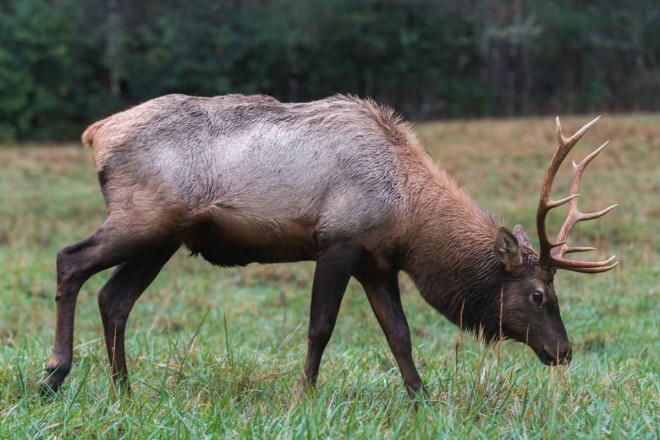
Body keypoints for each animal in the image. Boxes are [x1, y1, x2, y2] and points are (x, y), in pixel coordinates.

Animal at [43, 94, 616, 398]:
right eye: (539, 294)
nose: (564, 351)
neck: (407, 214)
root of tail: (95, 133)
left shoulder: (377, 263)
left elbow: (400, 335)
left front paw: (423, 399)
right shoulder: (338, 242)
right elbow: (320, 327)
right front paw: (303, 395)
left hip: (162, 237)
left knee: (114, 298)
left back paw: (124, 389)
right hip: (141, 218)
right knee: (70, 261)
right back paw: (54, 374)